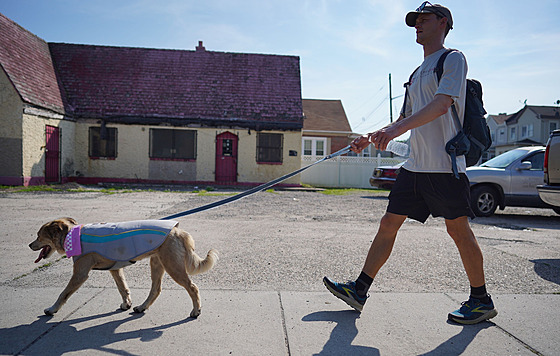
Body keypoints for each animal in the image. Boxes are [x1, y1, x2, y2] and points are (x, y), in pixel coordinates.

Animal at [28, 218, 218, 318]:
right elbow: (123, 288)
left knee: (192, 287)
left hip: (173, 266)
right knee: (156, 289)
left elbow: (63, 293)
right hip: (157, 263)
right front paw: (127, 303)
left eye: (39, 236)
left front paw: (52, 309)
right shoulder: (115, 269)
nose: (29, 245)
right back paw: (142, 307)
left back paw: (196, 310)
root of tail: (178, 232)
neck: (71, 235)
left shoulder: (80, 274)